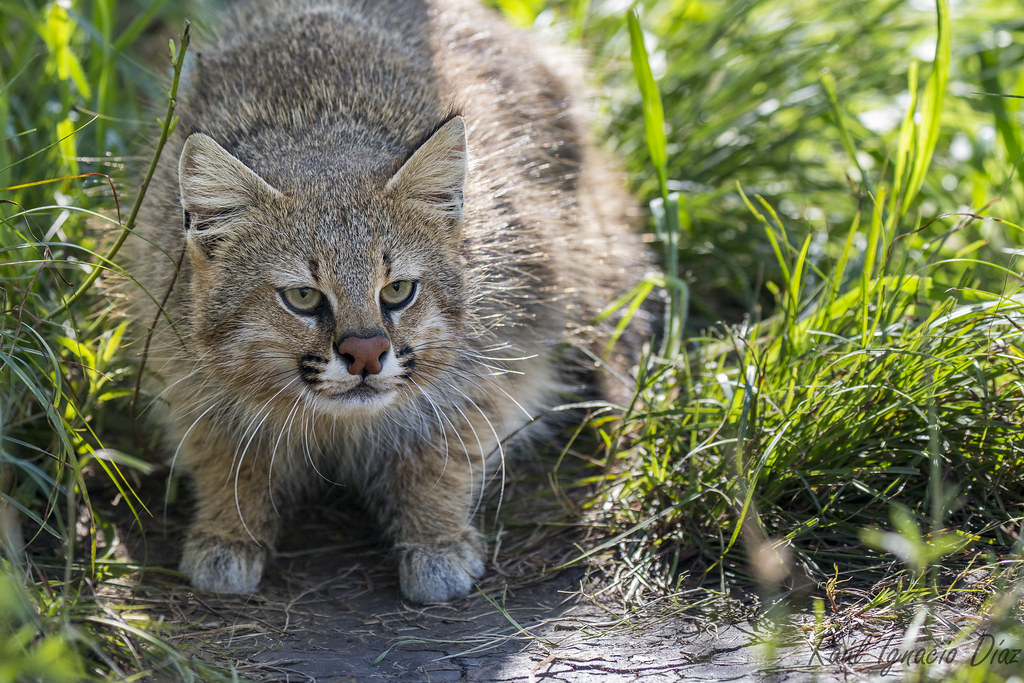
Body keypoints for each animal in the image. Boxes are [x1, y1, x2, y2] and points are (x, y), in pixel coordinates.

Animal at [123, 0, 643, 602]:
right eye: (302, 296)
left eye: (397, 290)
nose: (367, 354)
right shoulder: (184, 371)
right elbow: (228, 458)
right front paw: (228, 530)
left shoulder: (497, 349)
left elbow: (442, 449)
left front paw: (435, 538)